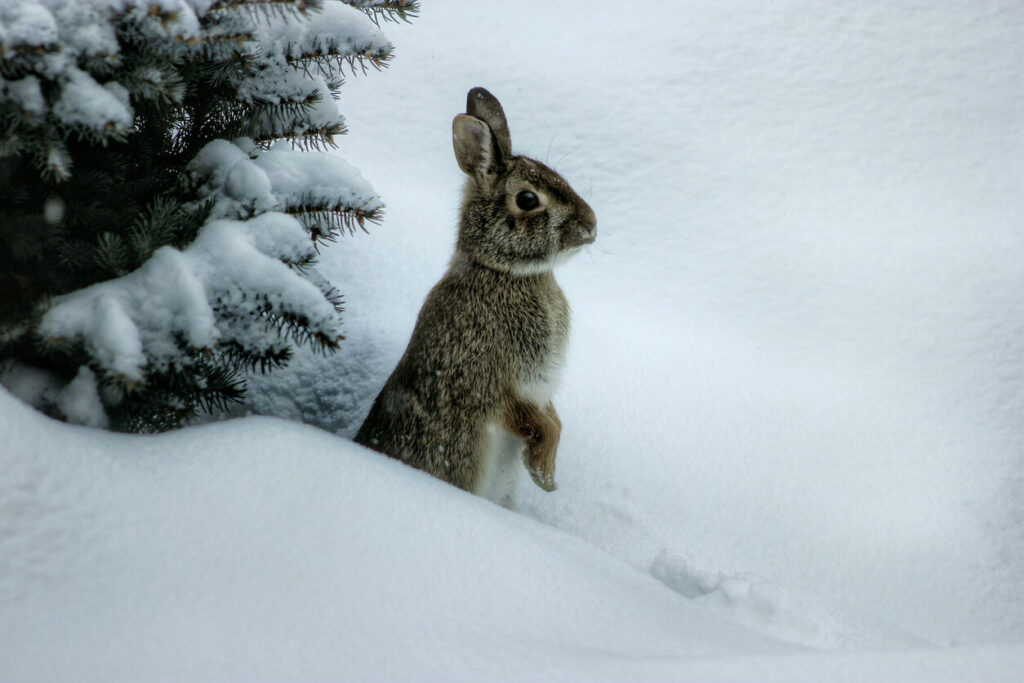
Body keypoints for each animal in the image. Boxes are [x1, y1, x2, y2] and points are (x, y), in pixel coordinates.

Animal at [355, 87, 596, 505]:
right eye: (527, 200)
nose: (592, 224)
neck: (501, 272)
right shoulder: (489, 382)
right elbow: (537, 422)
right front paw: (544, 475)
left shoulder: (540, 389)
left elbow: (554, 418)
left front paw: (545, 475)